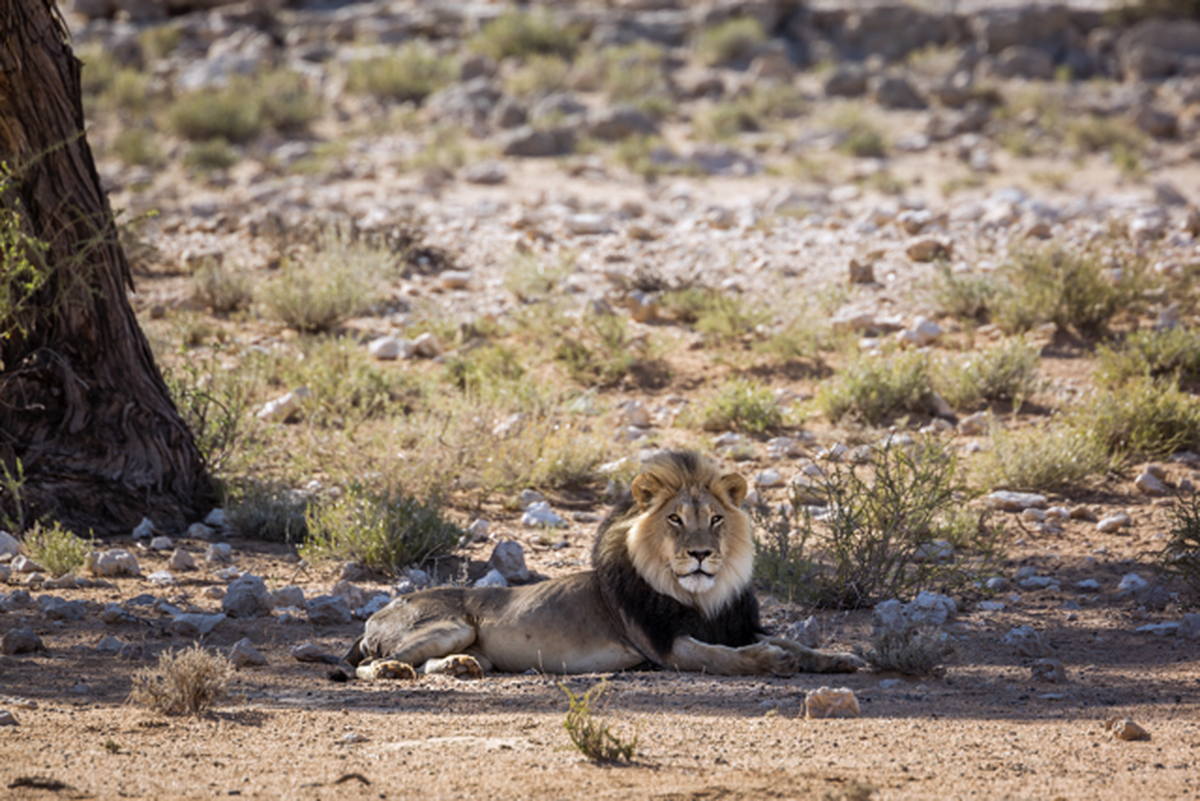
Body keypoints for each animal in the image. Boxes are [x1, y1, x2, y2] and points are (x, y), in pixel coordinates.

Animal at [335, 450, 861, 680]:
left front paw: (838, 658)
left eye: (715, 519)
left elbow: (791, 640)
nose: (701, 553)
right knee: (369, 666)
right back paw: (391, 671)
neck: (702, 594)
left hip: (468, 643)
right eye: (675, 519)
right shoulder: (665, 646)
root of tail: (380, 612)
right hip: (449, 625)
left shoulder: (735, 626)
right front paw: (771, 661)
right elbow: (723, 658)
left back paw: (460, 667)